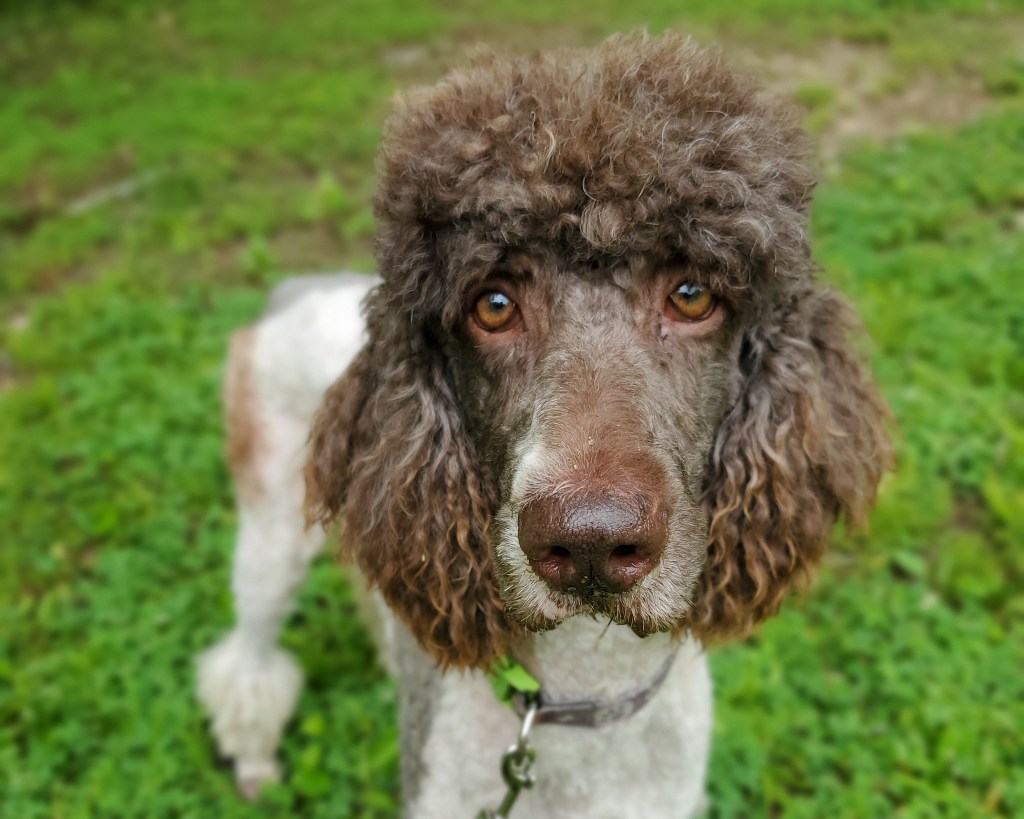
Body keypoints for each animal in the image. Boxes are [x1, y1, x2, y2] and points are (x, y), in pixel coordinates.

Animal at [198, 32, 889, 818]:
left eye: (692, 294)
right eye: (492, 305)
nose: (589, 540)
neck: (579, 709)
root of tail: (292, 290)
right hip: (270, 533)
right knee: (246, 660)